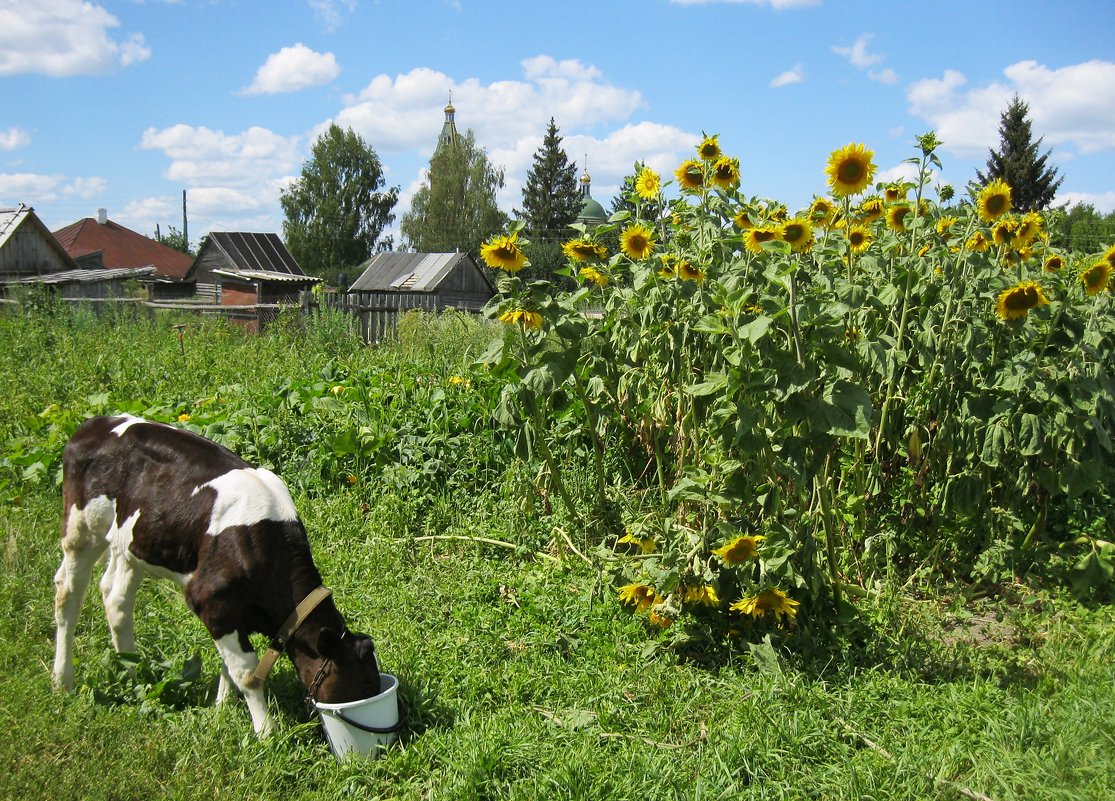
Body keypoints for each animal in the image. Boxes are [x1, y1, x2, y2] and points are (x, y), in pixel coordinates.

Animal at [52, 417, 381, 736]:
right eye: (365, 684)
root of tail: (93, 424)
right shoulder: (211, 599)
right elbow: (248, 672)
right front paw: (266, 731)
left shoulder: (230, 612)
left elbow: (228, 663)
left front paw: (223, 708)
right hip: (81, 528)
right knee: (67, 594)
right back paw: (62, 680)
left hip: (131, 542)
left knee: (115, 597)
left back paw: (131, 674)